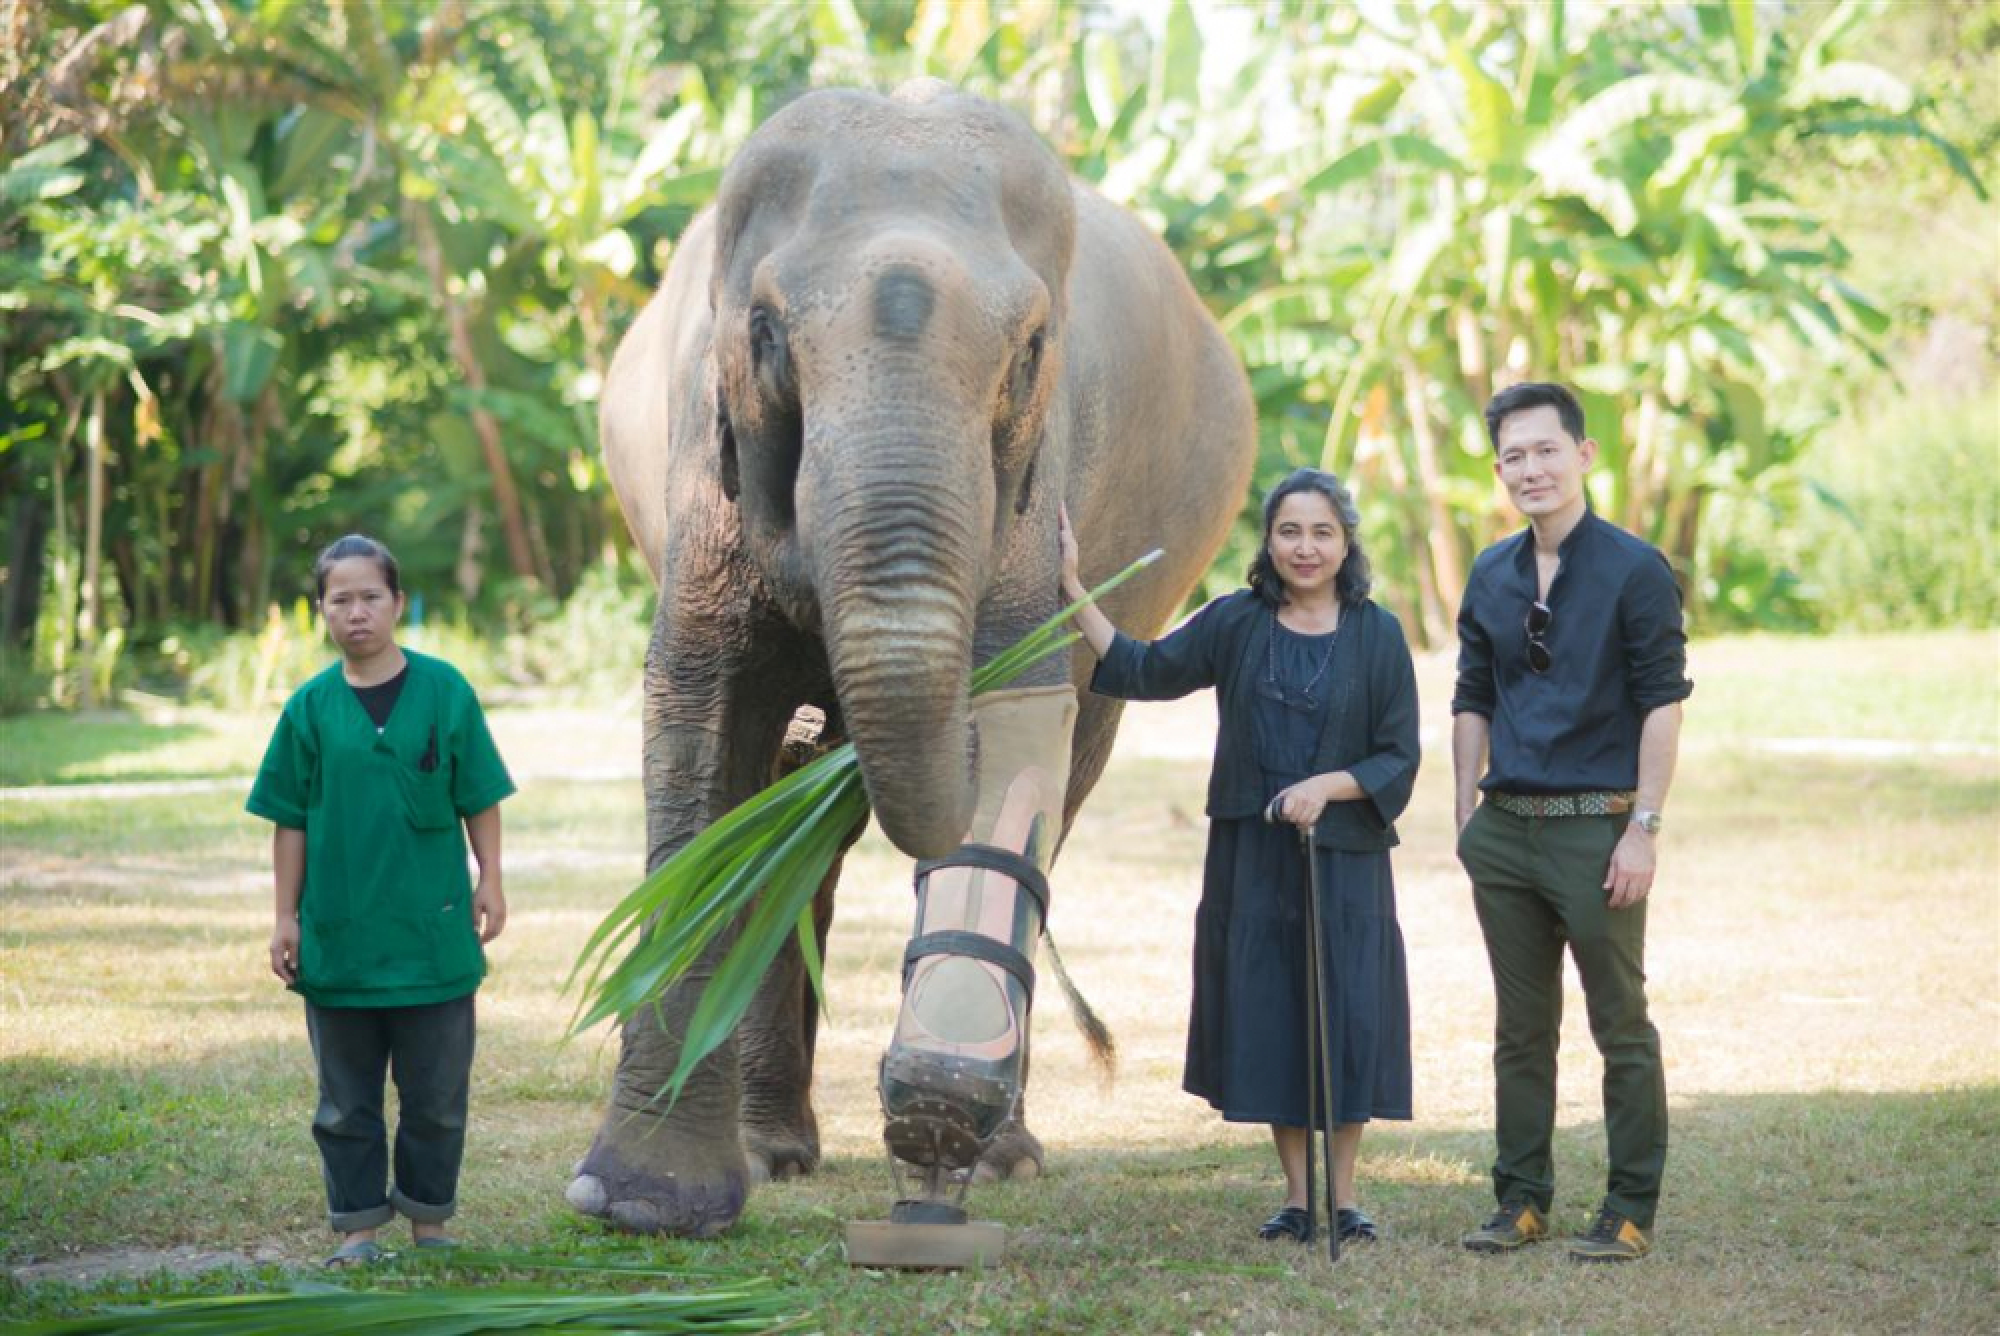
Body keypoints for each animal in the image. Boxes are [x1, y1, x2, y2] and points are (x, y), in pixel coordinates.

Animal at [570, 82, 1254, 1239]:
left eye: (1030, 347)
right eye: (764, 333)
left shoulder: (1035, 485)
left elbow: (1006, 704)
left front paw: (941, 1123)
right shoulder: (700, 474)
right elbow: (705, 727)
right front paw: (638, 1204)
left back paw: (998, 1156)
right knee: (791, 829)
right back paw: (773, 1149)